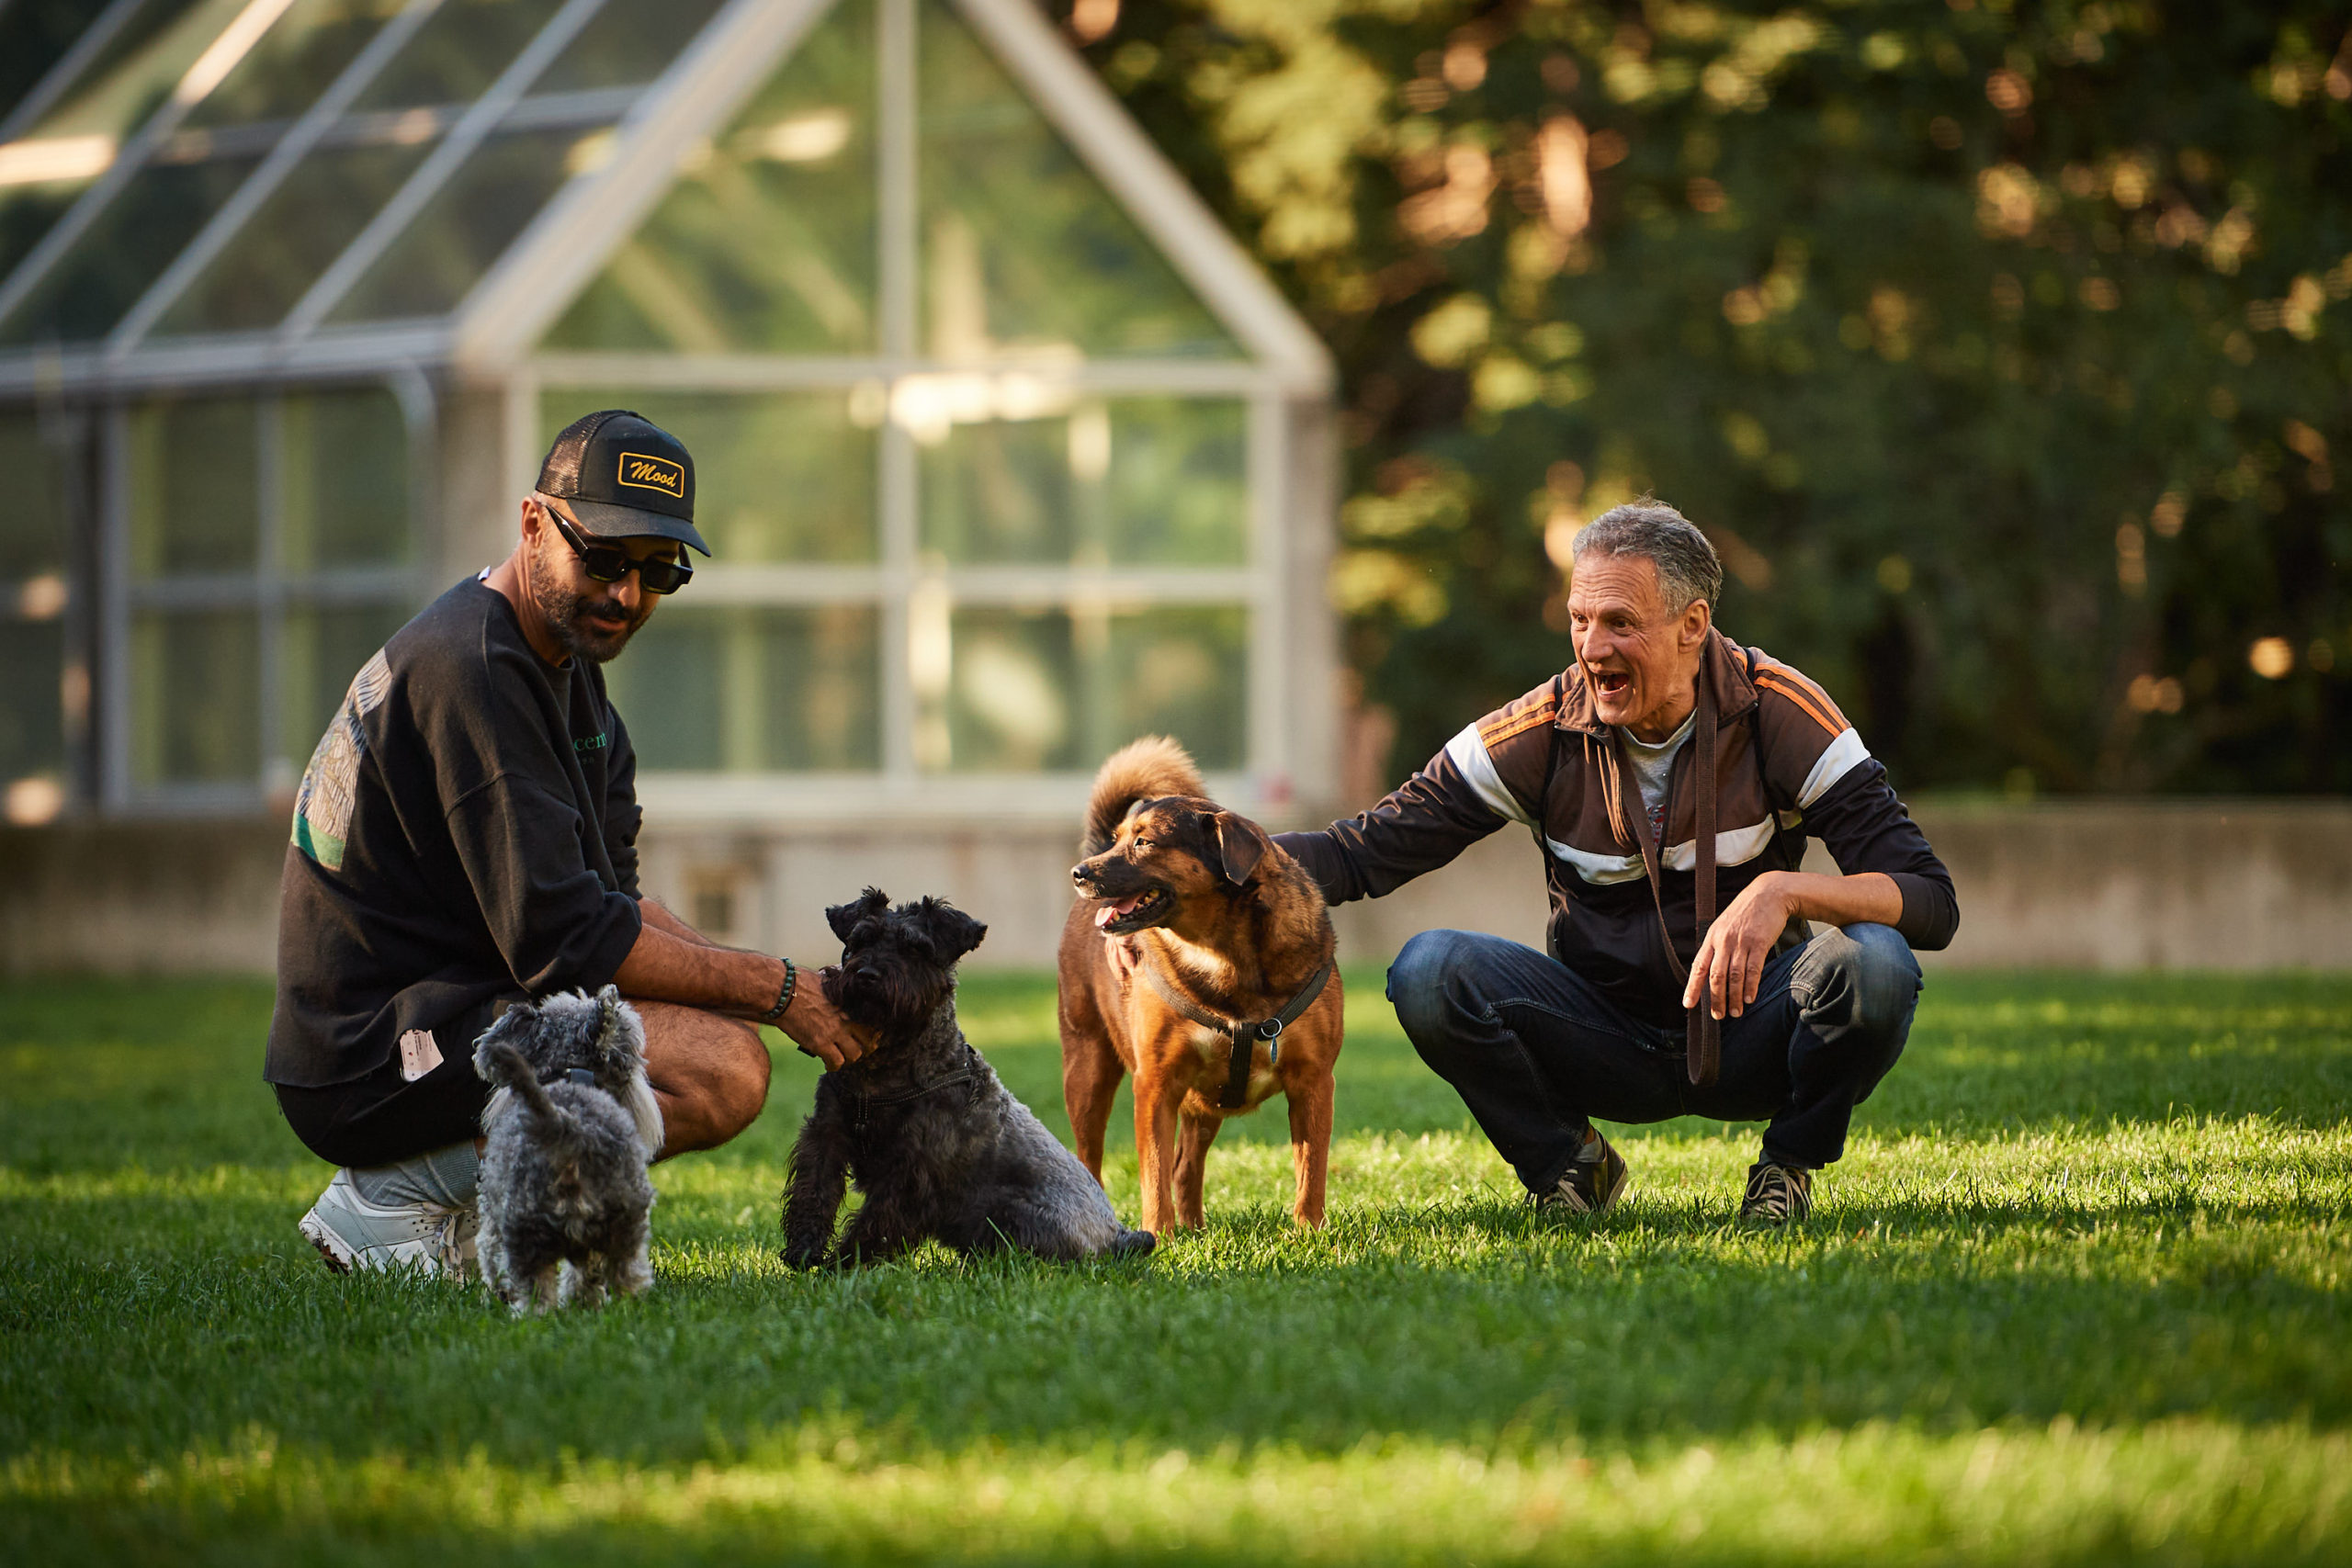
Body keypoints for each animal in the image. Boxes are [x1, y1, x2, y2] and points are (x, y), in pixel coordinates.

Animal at [472, 991, 662, 1316]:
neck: (573, 1077)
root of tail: (567, 1129)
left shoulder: (492, 1217)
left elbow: (489, 1253)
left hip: (522, 1230)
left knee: (535, 1293)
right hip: (626, 1225)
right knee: (622, 1274)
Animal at [780, 888, 1157, 1269]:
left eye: (916, 948)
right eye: (861, 940)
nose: (868, 974)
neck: (885, 1069)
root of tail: (1117, 1235)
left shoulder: (912, 1173)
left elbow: (875, 1224)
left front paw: (844, 1265)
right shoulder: (826, 1136)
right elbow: (814, 1194)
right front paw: (804, 1251)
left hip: (1015, 1216)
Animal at [1053, 738, 1336, 1241]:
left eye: (1144, 842)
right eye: (1122, 838)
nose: (1078, 873)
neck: (1222, 954)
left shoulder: (1314, 1082)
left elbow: (1311, 1170)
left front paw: (1309, 1233)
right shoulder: (1156, 1085)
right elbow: (1153, 1173)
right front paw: (1160, 1236)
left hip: (1203, 1104)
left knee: (1186, 1168)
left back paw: (1195, 1227)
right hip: (1087, 1071)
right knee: (1094, 1160)